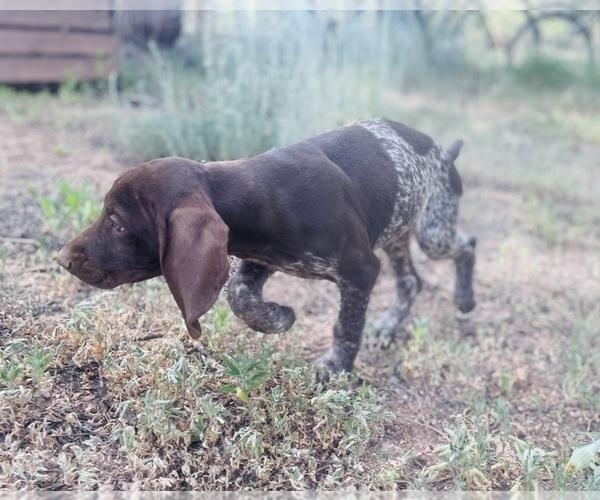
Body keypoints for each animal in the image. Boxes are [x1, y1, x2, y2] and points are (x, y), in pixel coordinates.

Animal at [57, 119, 478, 374]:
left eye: (116, 223)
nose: (61, 259)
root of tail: (443, 149)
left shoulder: (360, 269)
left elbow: (346, 326)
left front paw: (335, 368)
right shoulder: (262, 259)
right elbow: (238, 294)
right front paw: (278, 318)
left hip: (433, 232)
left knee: (467, 244)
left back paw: (465, 299)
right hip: (398, 234)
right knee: (410, 282)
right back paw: (390, 325)